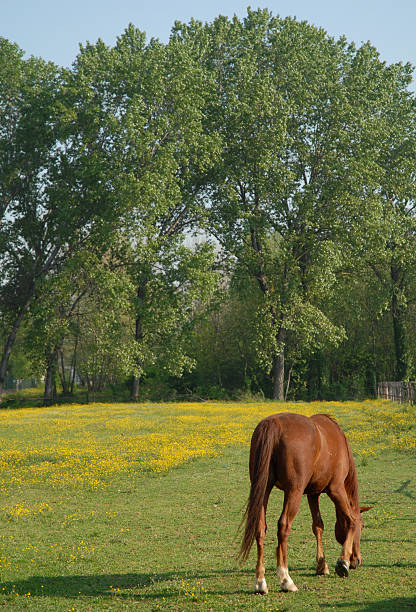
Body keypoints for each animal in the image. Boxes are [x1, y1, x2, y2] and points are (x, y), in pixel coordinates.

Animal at [239, 412, 372, 592]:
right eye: (363, 526)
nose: (357, 560)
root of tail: (274, 423)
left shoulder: (312, 494)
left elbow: (318, 526)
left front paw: (322, 565)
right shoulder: (336, 489)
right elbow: (351, 519)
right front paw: (342, 562)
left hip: (263, 489)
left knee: (260, 529)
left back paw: (260, 582)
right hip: (294, 492)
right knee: (283, 527)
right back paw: (286, 579)